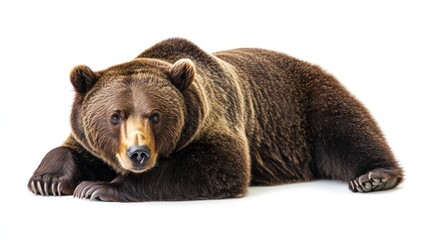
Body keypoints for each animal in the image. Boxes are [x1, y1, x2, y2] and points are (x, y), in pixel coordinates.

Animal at [28, 38, 402, 201]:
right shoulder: (92, 135)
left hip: (307, 102)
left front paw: (96, 187)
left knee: (346, 130)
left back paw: (374, 177)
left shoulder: (217, 119)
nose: (138, 154)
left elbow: (220, 166)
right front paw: (48, 180)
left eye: (155, 115)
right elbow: (74, 148)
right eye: (115, 116)